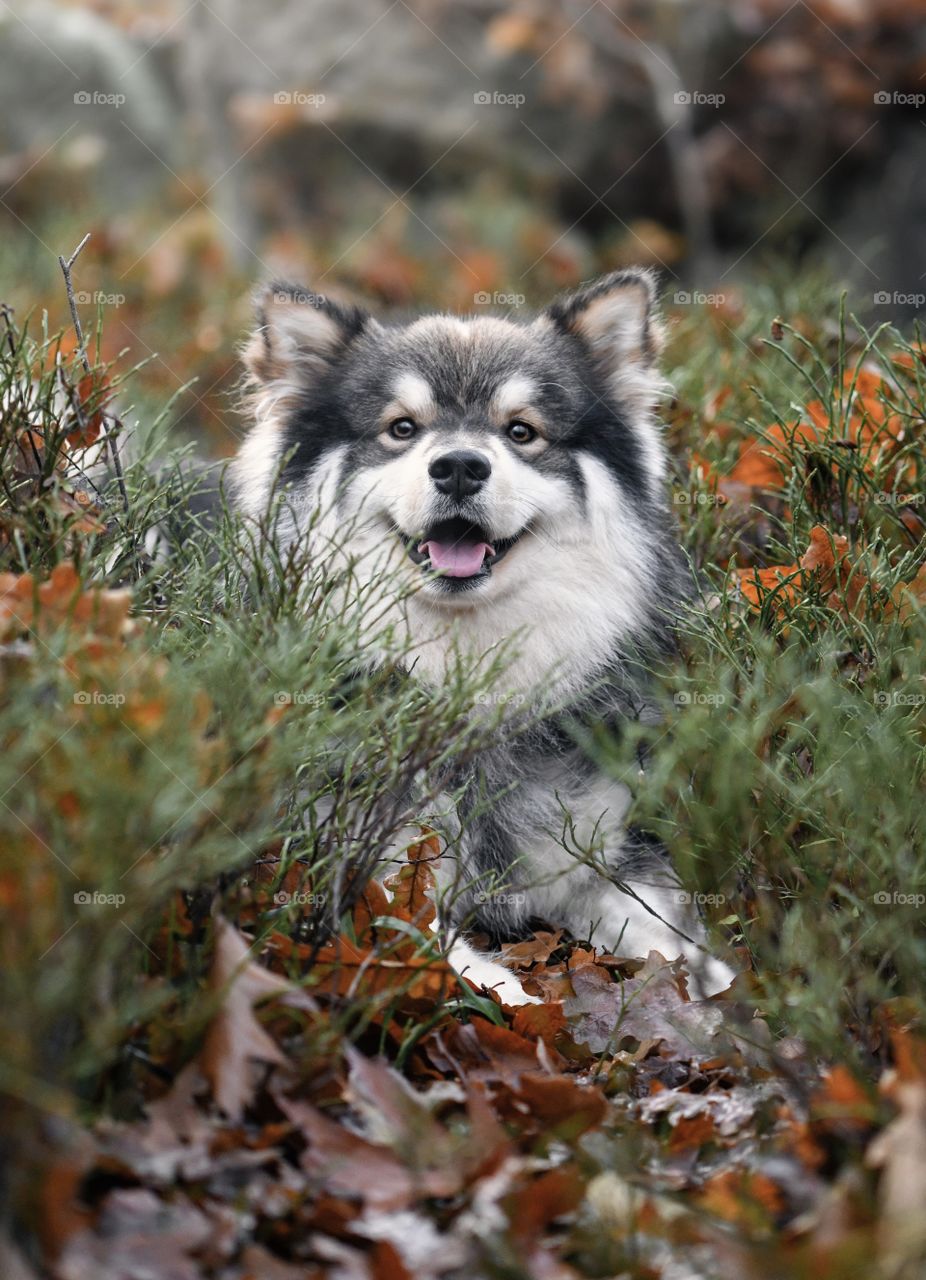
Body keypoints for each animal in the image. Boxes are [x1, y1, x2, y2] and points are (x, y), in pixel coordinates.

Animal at [233, 272, 737, 998]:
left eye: (521, 431)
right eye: (402, 428)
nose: (460, 466)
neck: (467, 683)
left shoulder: (601, 860)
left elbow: (673, 941)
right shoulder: (374, 873)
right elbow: (449, 955)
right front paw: (510, 992)